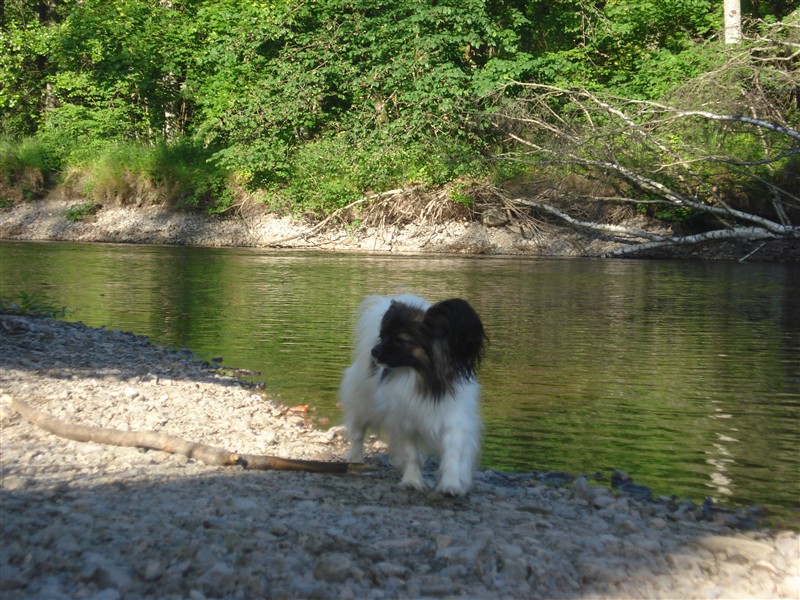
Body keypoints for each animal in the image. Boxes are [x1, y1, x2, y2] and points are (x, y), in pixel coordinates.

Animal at [339, 293, 486, 496]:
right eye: (382, 337)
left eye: (400, 340)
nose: (374, 351)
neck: (419, 377)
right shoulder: (404, 422)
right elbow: (410, 454)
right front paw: (412, 481)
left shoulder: (454, 421)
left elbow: (453, 455)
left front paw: (451, 485)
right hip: (361, 405)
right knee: (357, 434)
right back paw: (355, 459)